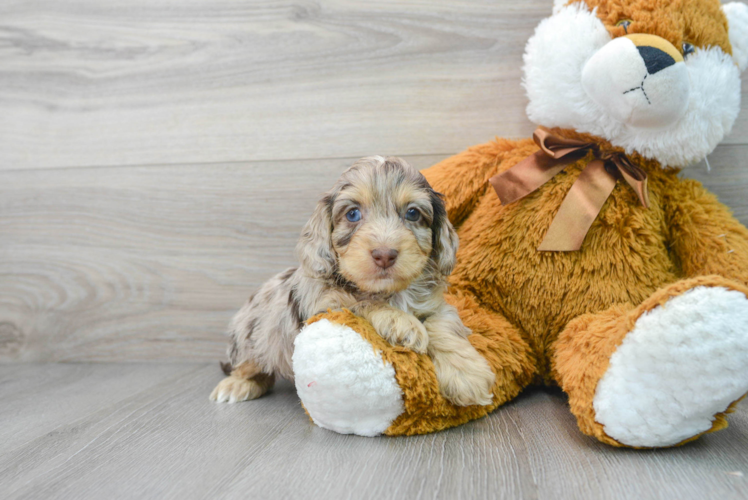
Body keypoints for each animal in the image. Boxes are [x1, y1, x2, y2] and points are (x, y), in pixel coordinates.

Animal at [209, 155, 496, 406]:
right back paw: (236, 385)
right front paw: (401, 322)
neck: (389, 292)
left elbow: (444, 325)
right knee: (250, 368)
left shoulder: (435, 306)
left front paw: (467, 375)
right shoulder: (324, 306)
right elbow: (360, 303)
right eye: (353, 214)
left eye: (413, 213)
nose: (384, 255)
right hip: (251, 336)